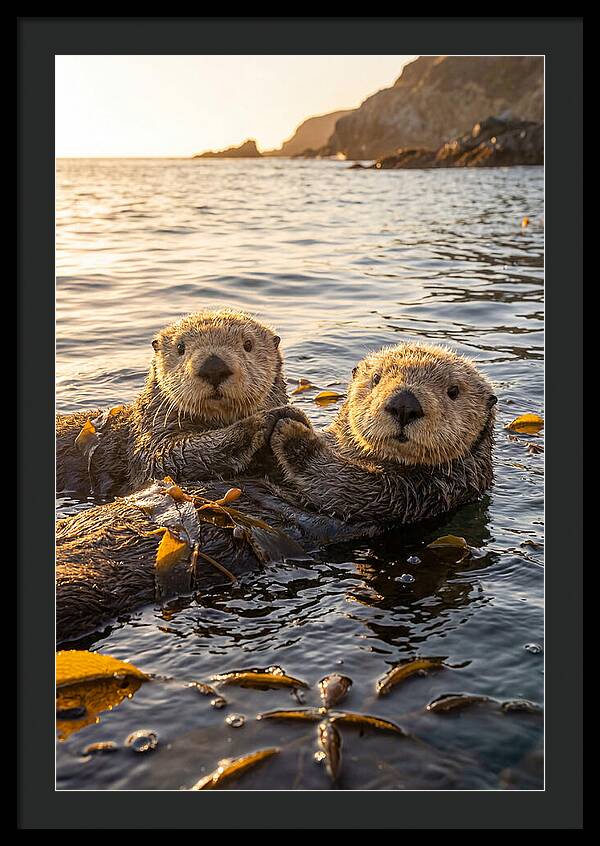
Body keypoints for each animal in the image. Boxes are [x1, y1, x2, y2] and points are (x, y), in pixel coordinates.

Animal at [56, 309, 308, 498]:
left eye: (248, 344)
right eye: (180, 348)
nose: (213, 366)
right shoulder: (150, 439)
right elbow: (168, 456)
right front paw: (267, 419)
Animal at [56, 343, 496, 642]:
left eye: (453, 391)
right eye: (375, 381)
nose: (404, 403)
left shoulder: (419, 494)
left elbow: (343, 483)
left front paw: (291, 429)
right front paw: (275, 419)